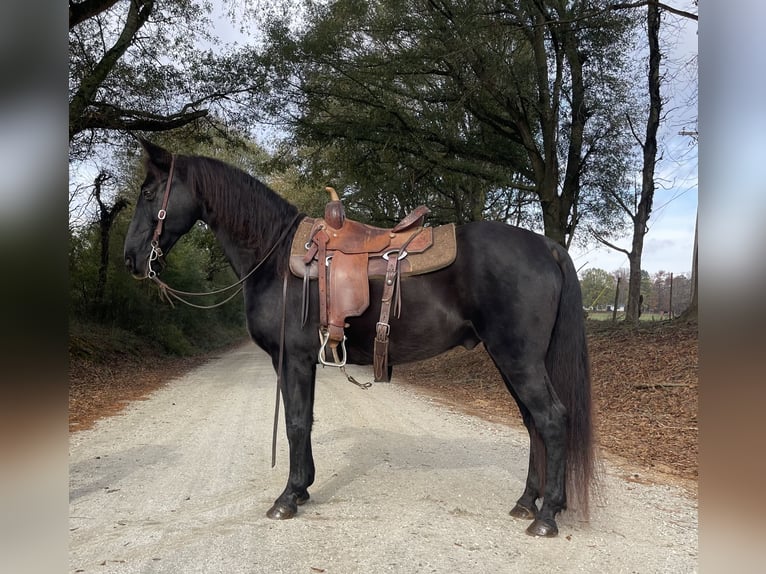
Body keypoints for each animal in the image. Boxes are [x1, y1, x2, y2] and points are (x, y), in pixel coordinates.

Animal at [124, 141, 592, 540]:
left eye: (148, 192)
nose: (130, 258)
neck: (274, 258)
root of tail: (546, 245)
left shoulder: (291, 359)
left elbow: (295, 422)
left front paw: (287, 497)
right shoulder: (303, 361)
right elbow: (306, 419)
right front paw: (303, 488)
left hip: (518, 358)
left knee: (551, 419)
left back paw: (547, 516)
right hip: (510, 359)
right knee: (533, 423)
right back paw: (527, 502)